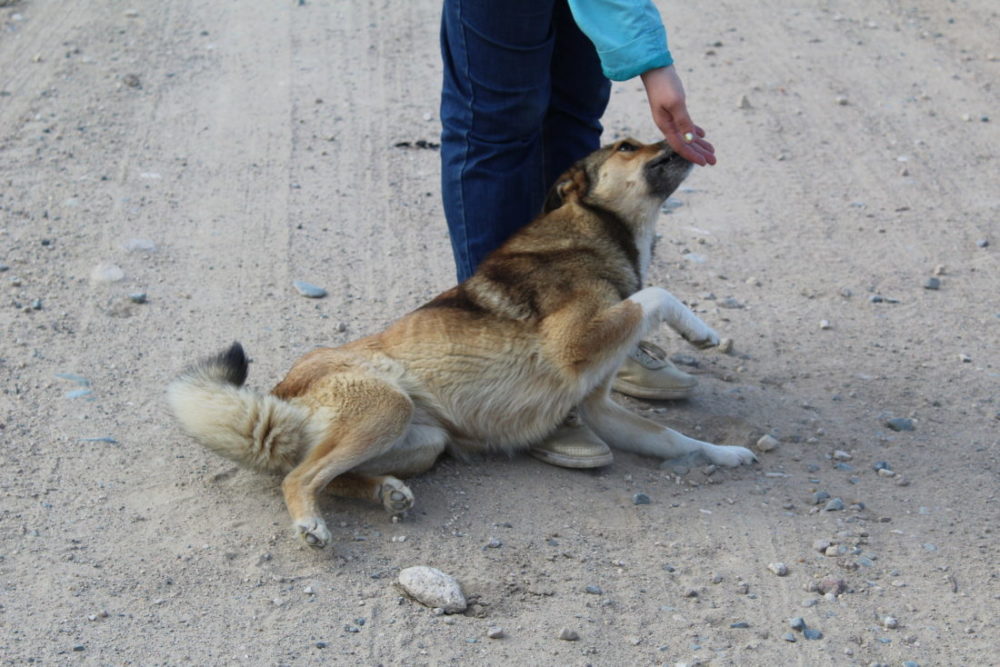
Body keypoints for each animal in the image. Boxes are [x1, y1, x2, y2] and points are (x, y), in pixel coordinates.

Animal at [168, 138, 752, 552]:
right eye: (628, 145)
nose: (681, 133)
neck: (593, 230)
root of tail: (280, 394)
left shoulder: (601, 408)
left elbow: (674, 438)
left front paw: (727, 454)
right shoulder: (577, 341)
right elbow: (656, 294)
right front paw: (699, 331)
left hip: (423, 442)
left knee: (323, 473)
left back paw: (385, 490)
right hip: (387, 406)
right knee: (298, 477)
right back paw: (312, 523)